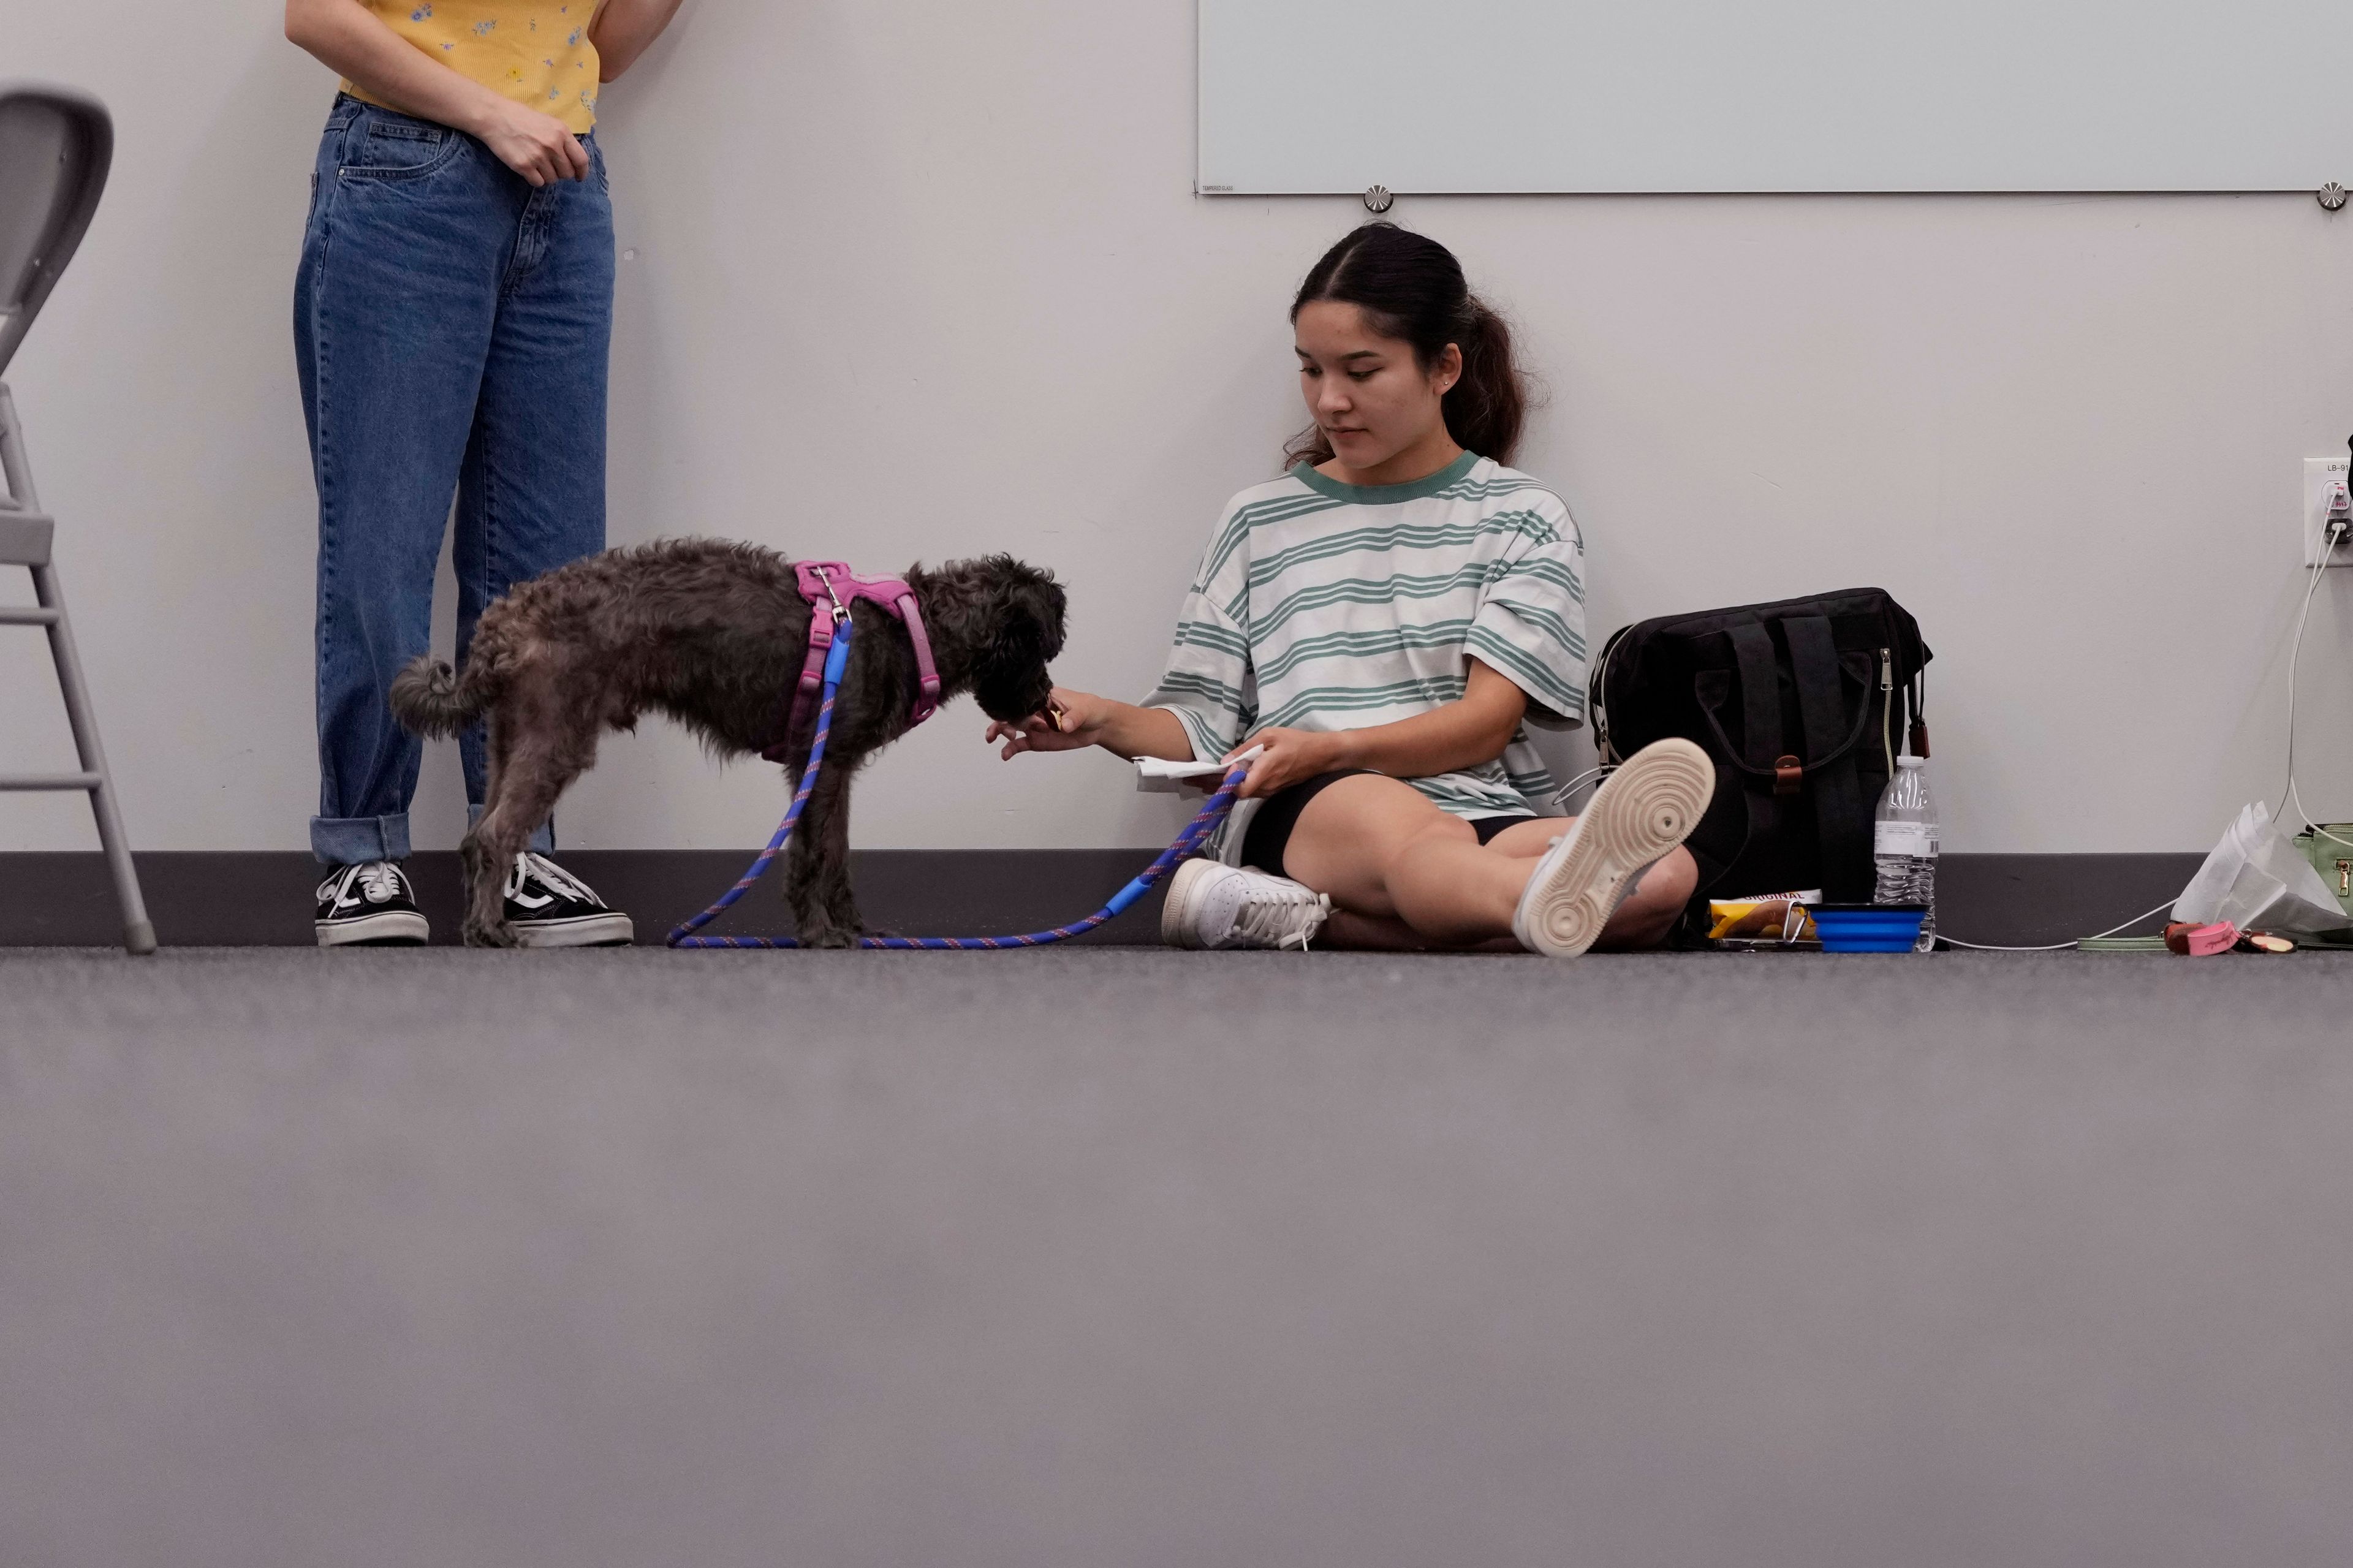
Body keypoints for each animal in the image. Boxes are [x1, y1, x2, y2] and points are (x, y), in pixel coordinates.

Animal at [393, 537, 1068, 946]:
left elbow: (835, 854)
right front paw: (822, 933)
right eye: (1040, 646)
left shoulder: (830, 768)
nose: (1045, 702)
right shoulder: (820, 764)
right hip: (556, 737)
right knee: (494, 836)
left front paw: (854, 930)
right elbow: (818, 856)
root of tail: (505, 620)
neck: (909, 631)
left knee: (475, 834)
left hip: (513, 740)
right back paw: (490, 930)